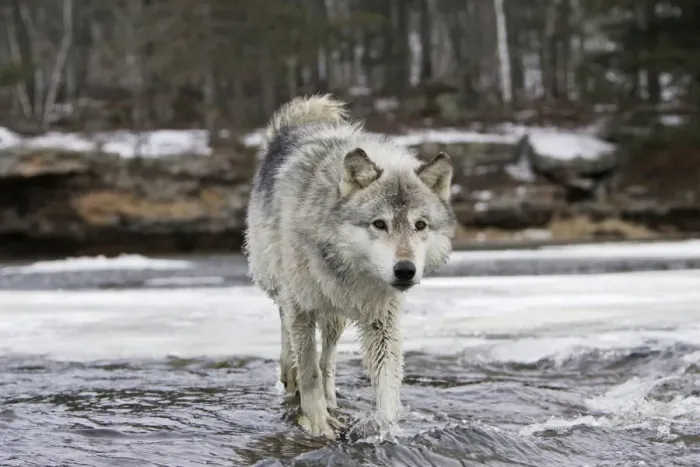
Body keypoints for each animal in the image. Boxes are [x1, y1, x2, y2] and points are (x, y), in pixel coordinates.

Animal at [244, 94, 456, 439]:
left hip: (335, 317)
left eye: (420, 225)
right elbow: (308, 369)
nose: (405, 270)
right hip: (280, 285)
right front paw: (317, 421)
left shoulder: (382, 321)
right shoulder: (301, 306)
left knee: (328, 356)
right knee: (288, 333)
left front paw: (384, 428)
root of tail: (294, 126)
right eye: (379, 224)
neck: (350, 269)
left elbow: (386, 384)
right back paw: (291, 376)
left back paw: (331, 395)